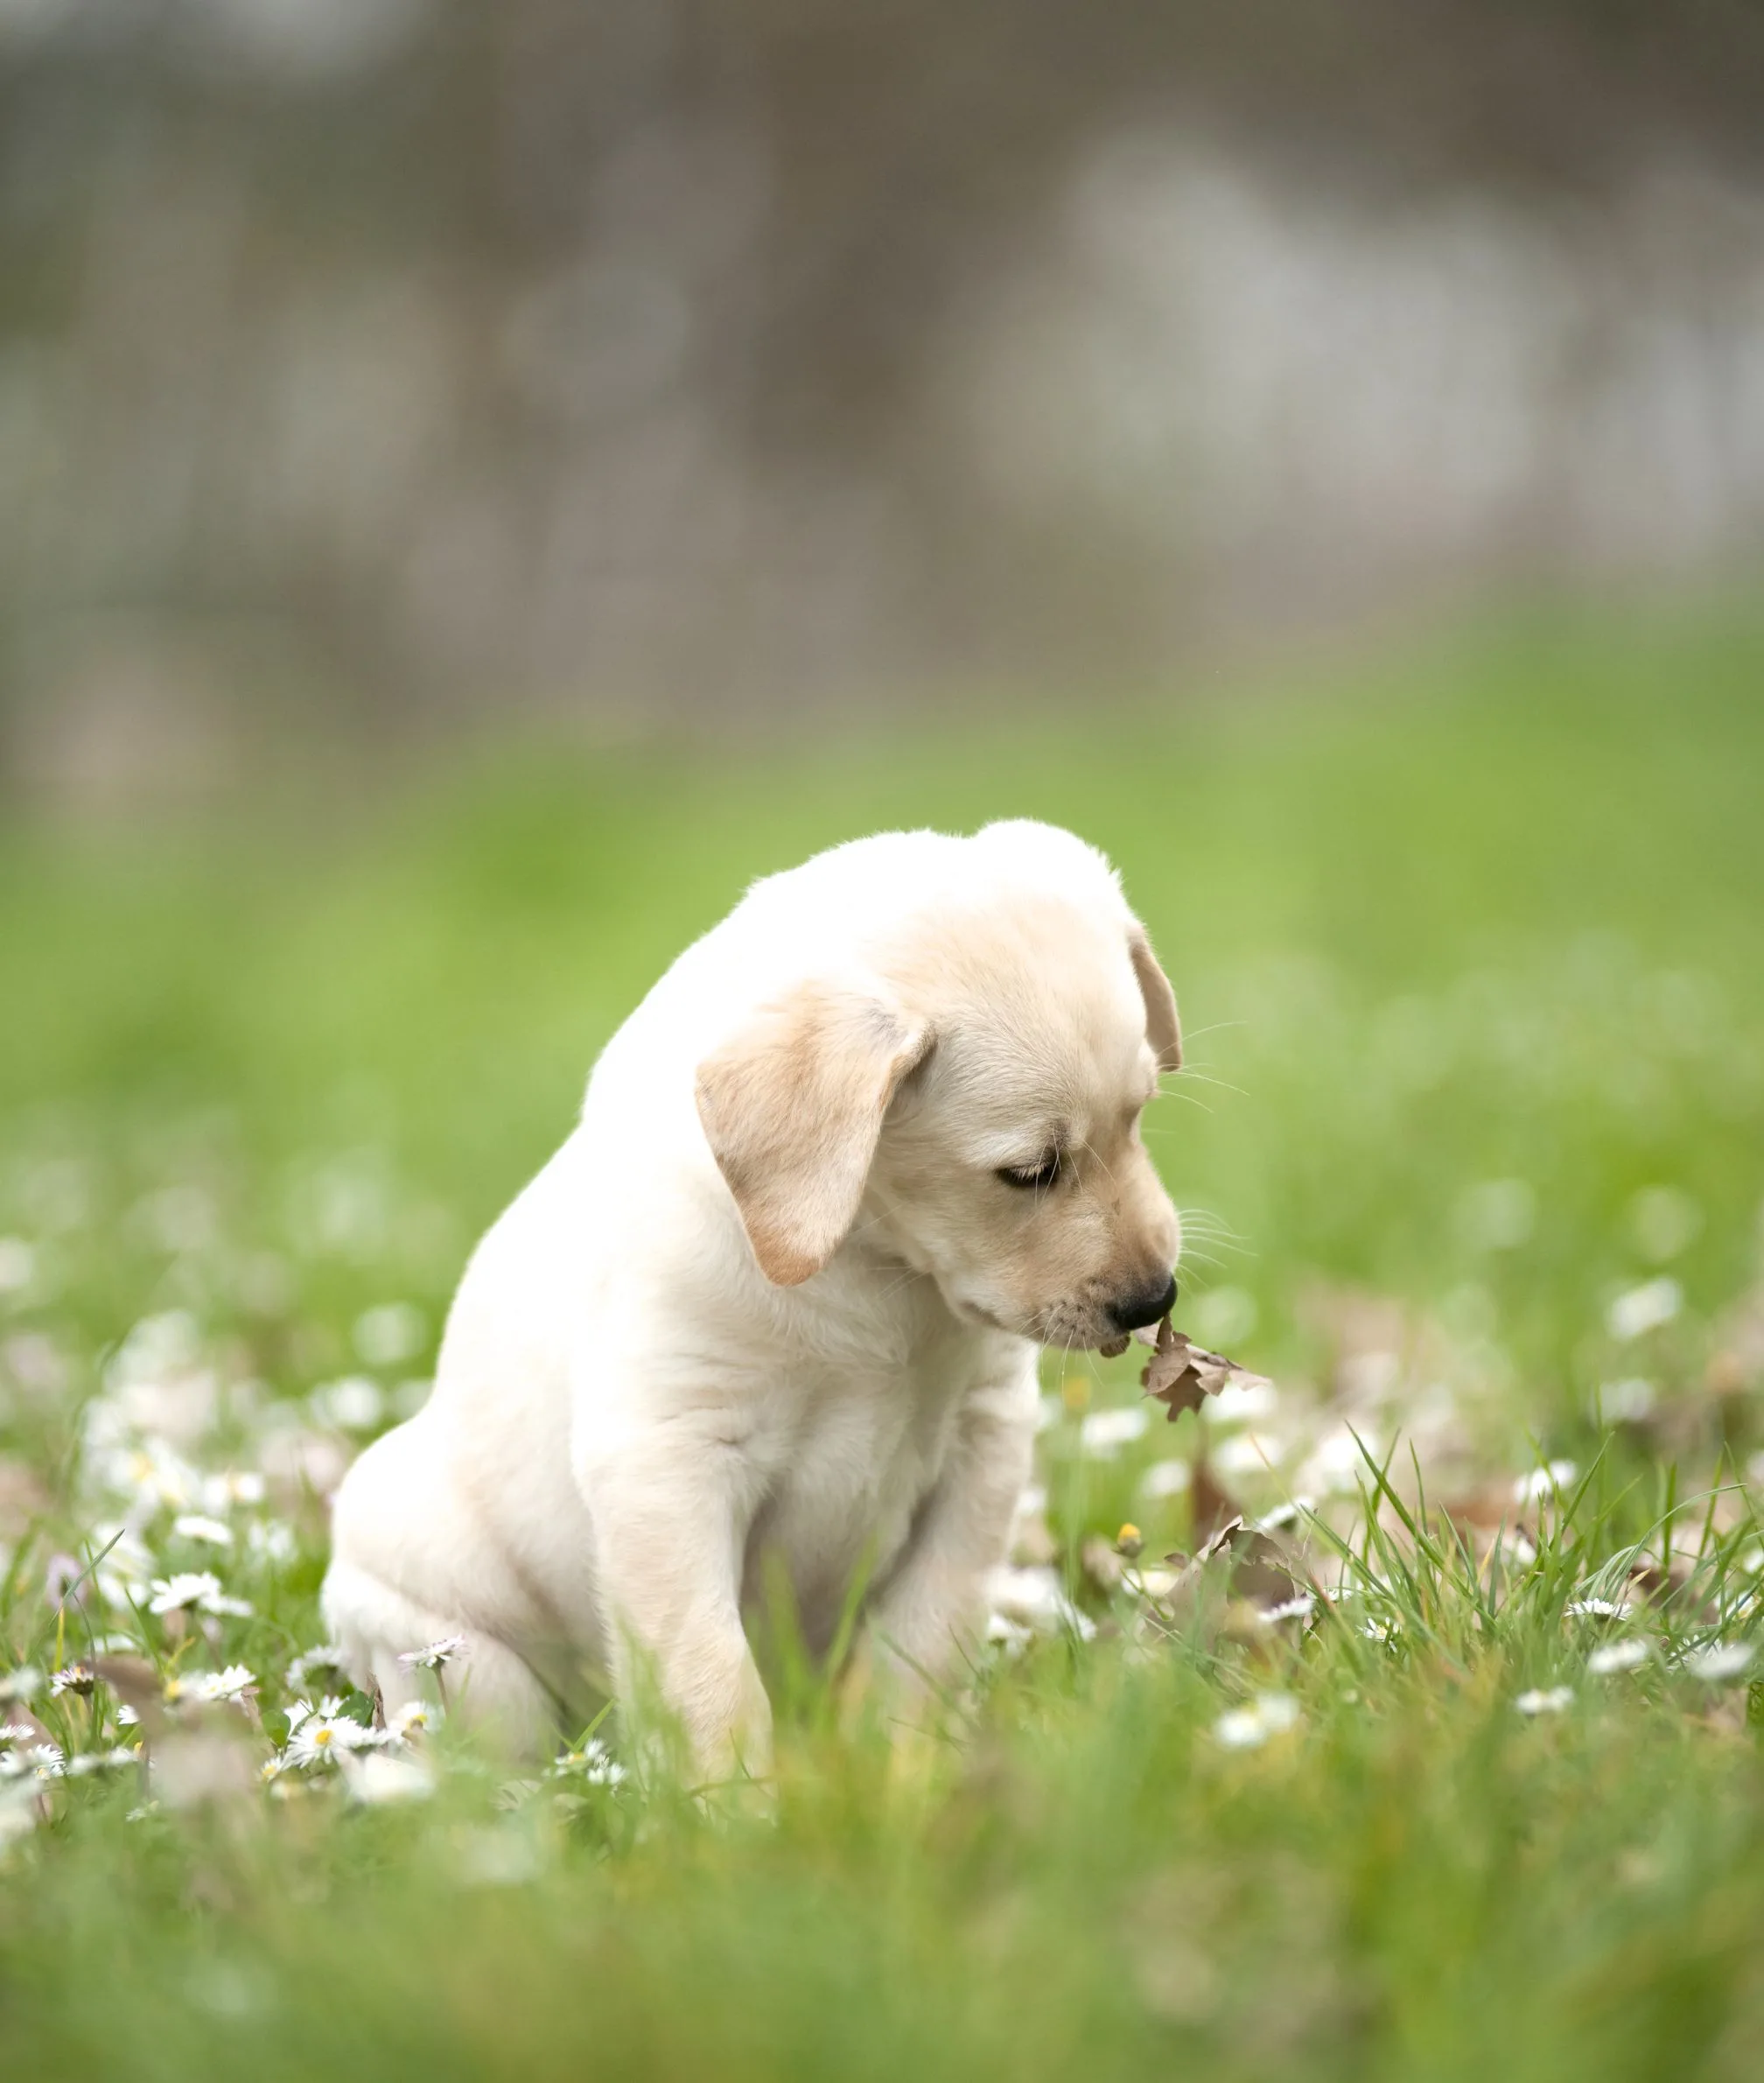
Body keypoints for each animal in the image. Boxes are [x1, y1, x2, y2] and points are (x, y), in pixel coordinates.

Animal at [325, 820, 1182, 1766]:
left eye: (1139, 1115)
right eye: (1029, 1171)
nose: (1155, 1300)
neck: (869, 1266)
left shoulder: (982, 1445)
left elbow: (924, 1634)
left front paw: (900, 1771)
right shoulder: (668, 1461)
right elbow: (709, 1671)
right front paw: (733, 1798)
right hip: (456, 1655)